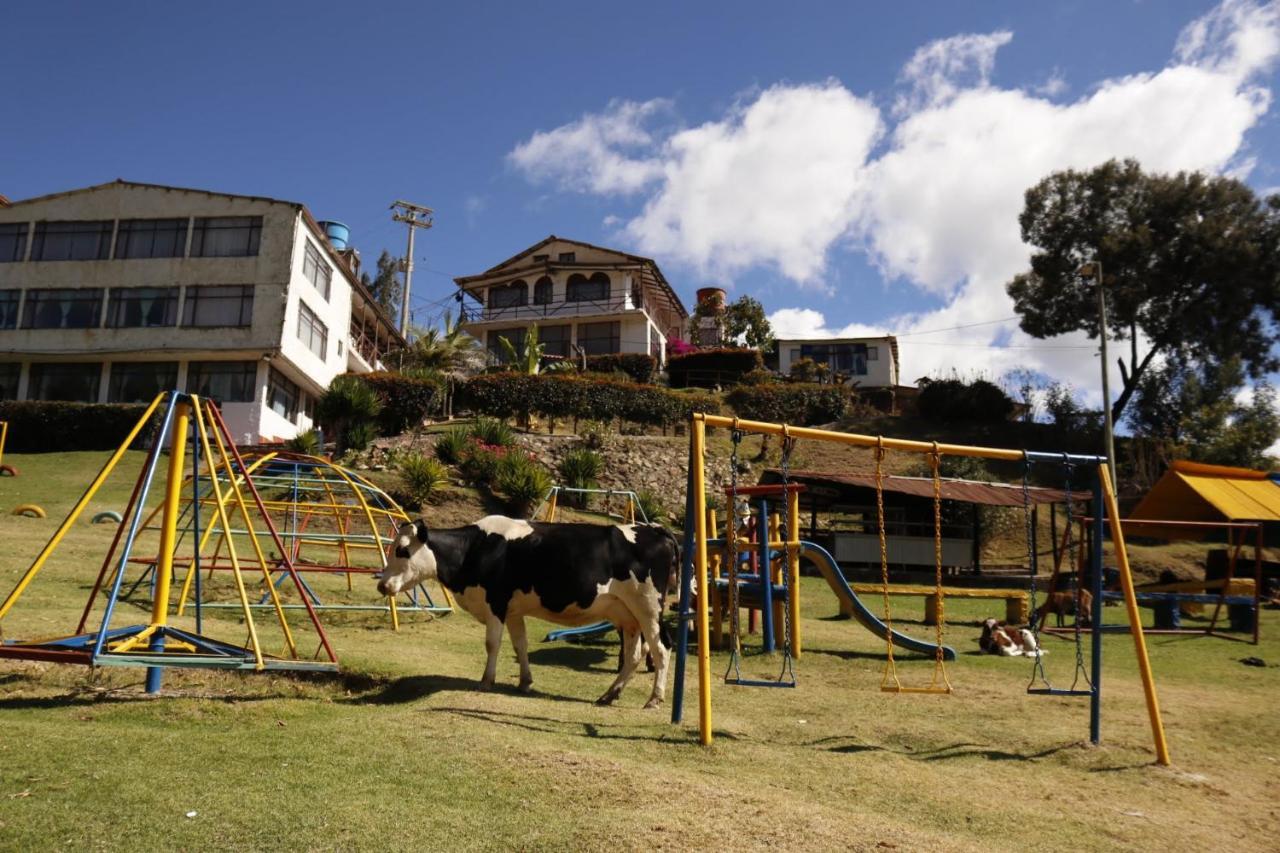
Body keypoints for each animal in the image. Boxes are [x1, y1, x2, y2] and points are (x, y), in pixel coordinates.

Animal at [376, 512, 680, 701]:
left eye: (403, 550)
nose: (382, 585)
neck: (476, 548)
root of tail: (654, 529)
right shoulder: (513, 610)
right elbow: (519, 645)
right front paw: (525, 682)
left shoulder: (496, 603)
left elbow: (492, 644)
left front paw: (486, 681)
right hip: (627, 614)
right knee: (634, 654)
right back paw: (609, 695)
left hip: (648, 607)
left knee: (661, 647)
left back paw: (654, 698)